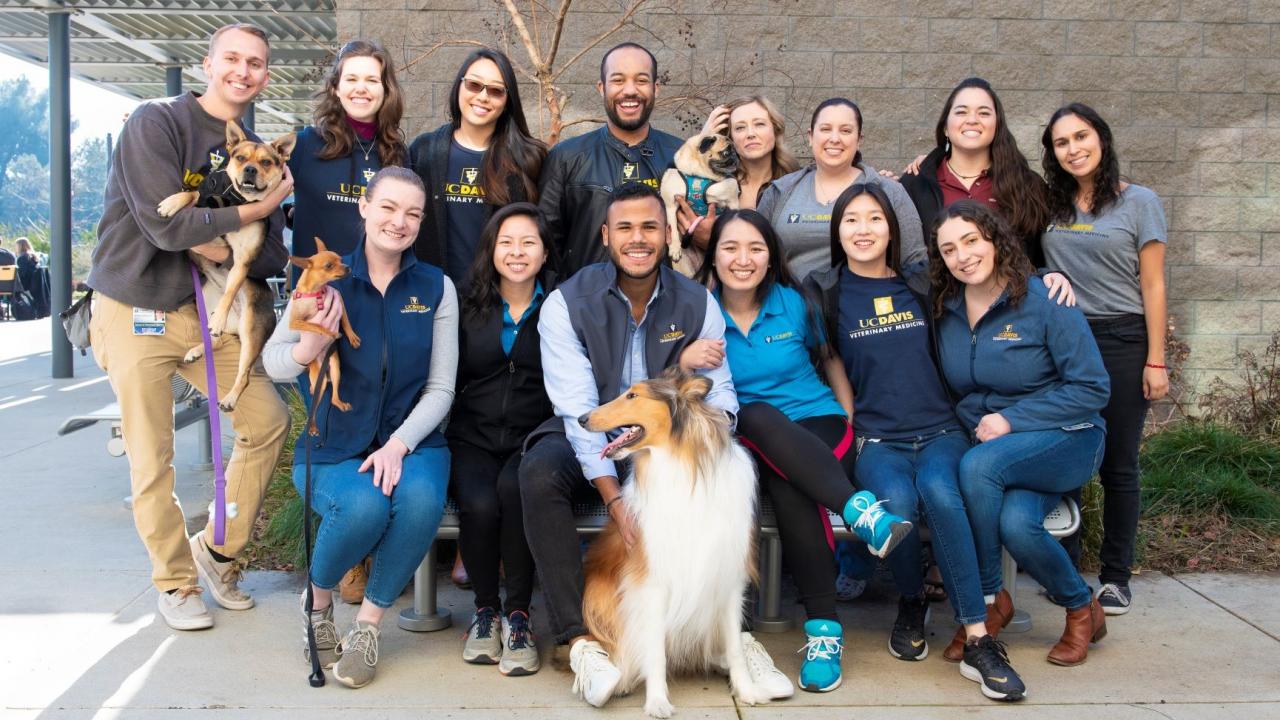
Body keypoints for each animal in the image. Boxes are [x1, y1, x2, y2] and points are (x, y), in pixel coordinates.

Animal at [156, 119, 294, 409]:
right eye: (240, 158)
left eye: (266, 162)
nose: (250, 169)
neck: (236, 201)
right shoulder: (200, 234)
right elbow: (193, 195)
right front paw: (172, 202)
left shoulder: (242, 260)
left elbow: (231, 290)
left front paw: (220, 315)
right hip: (203, 302)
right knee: (215, 342)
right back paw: (198, 349)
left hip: (251, 332)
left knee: (244, 373)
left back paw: (230, 396)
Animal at [581, 366, 768, 712]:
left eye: (633, 395)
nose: (581, 418)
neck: (681, 462)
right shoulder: (652, 580)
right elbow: (654, 650)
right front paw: (657, 701)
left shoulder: (728, 575)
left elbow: (735, 645)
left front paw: (746, 690)